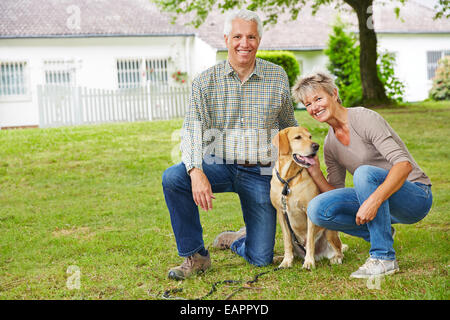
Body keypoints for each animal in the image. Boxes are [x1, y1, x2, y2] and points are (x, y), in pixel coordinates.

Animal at [268, 126, 346, 268]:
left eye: (310, 137)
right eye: (298, 137)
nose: (316, 146)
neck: (289, 178)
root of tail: (320, 255)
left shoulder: (308, 211)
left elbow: (310, 240)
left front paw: (309, 262)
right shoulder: (281, 213)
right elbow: (287, 241)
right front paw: (286, 261)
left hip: (329, 232)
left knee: (338, 249)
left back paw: (335, 258)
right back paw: (279, 257)